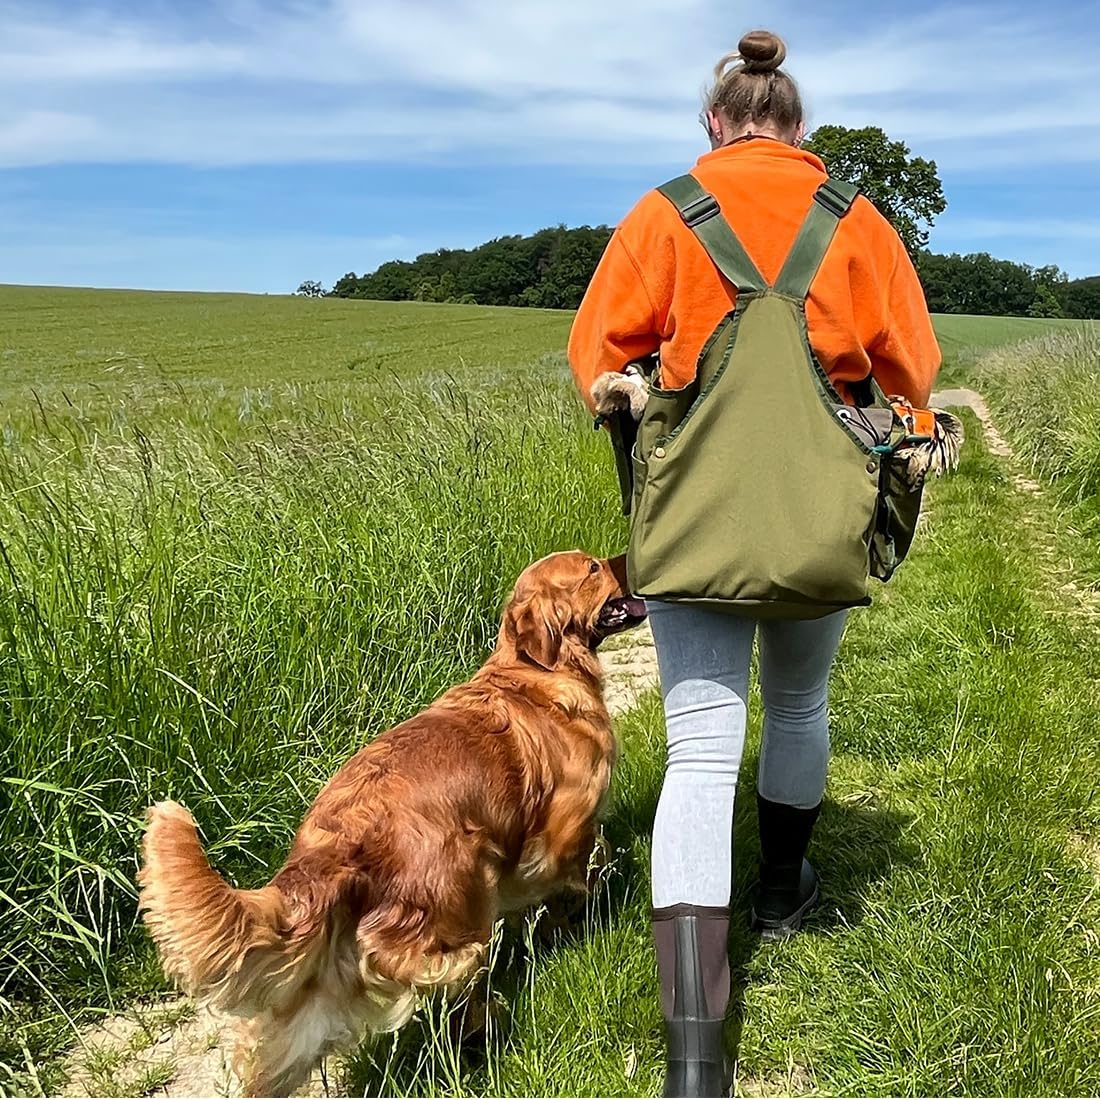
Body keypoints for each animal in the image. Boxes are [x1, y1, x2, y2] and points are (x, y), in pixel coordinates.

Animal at [138, 551, 647, 1096]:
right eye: (592, 568)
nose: (626, 556)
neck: (533, 672)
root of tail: (335, 842)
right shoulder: (564, 829)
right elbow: (584, 868)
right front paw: (586, 908)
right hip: (462, 884)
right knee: (432, 968)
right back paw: (467, 991)